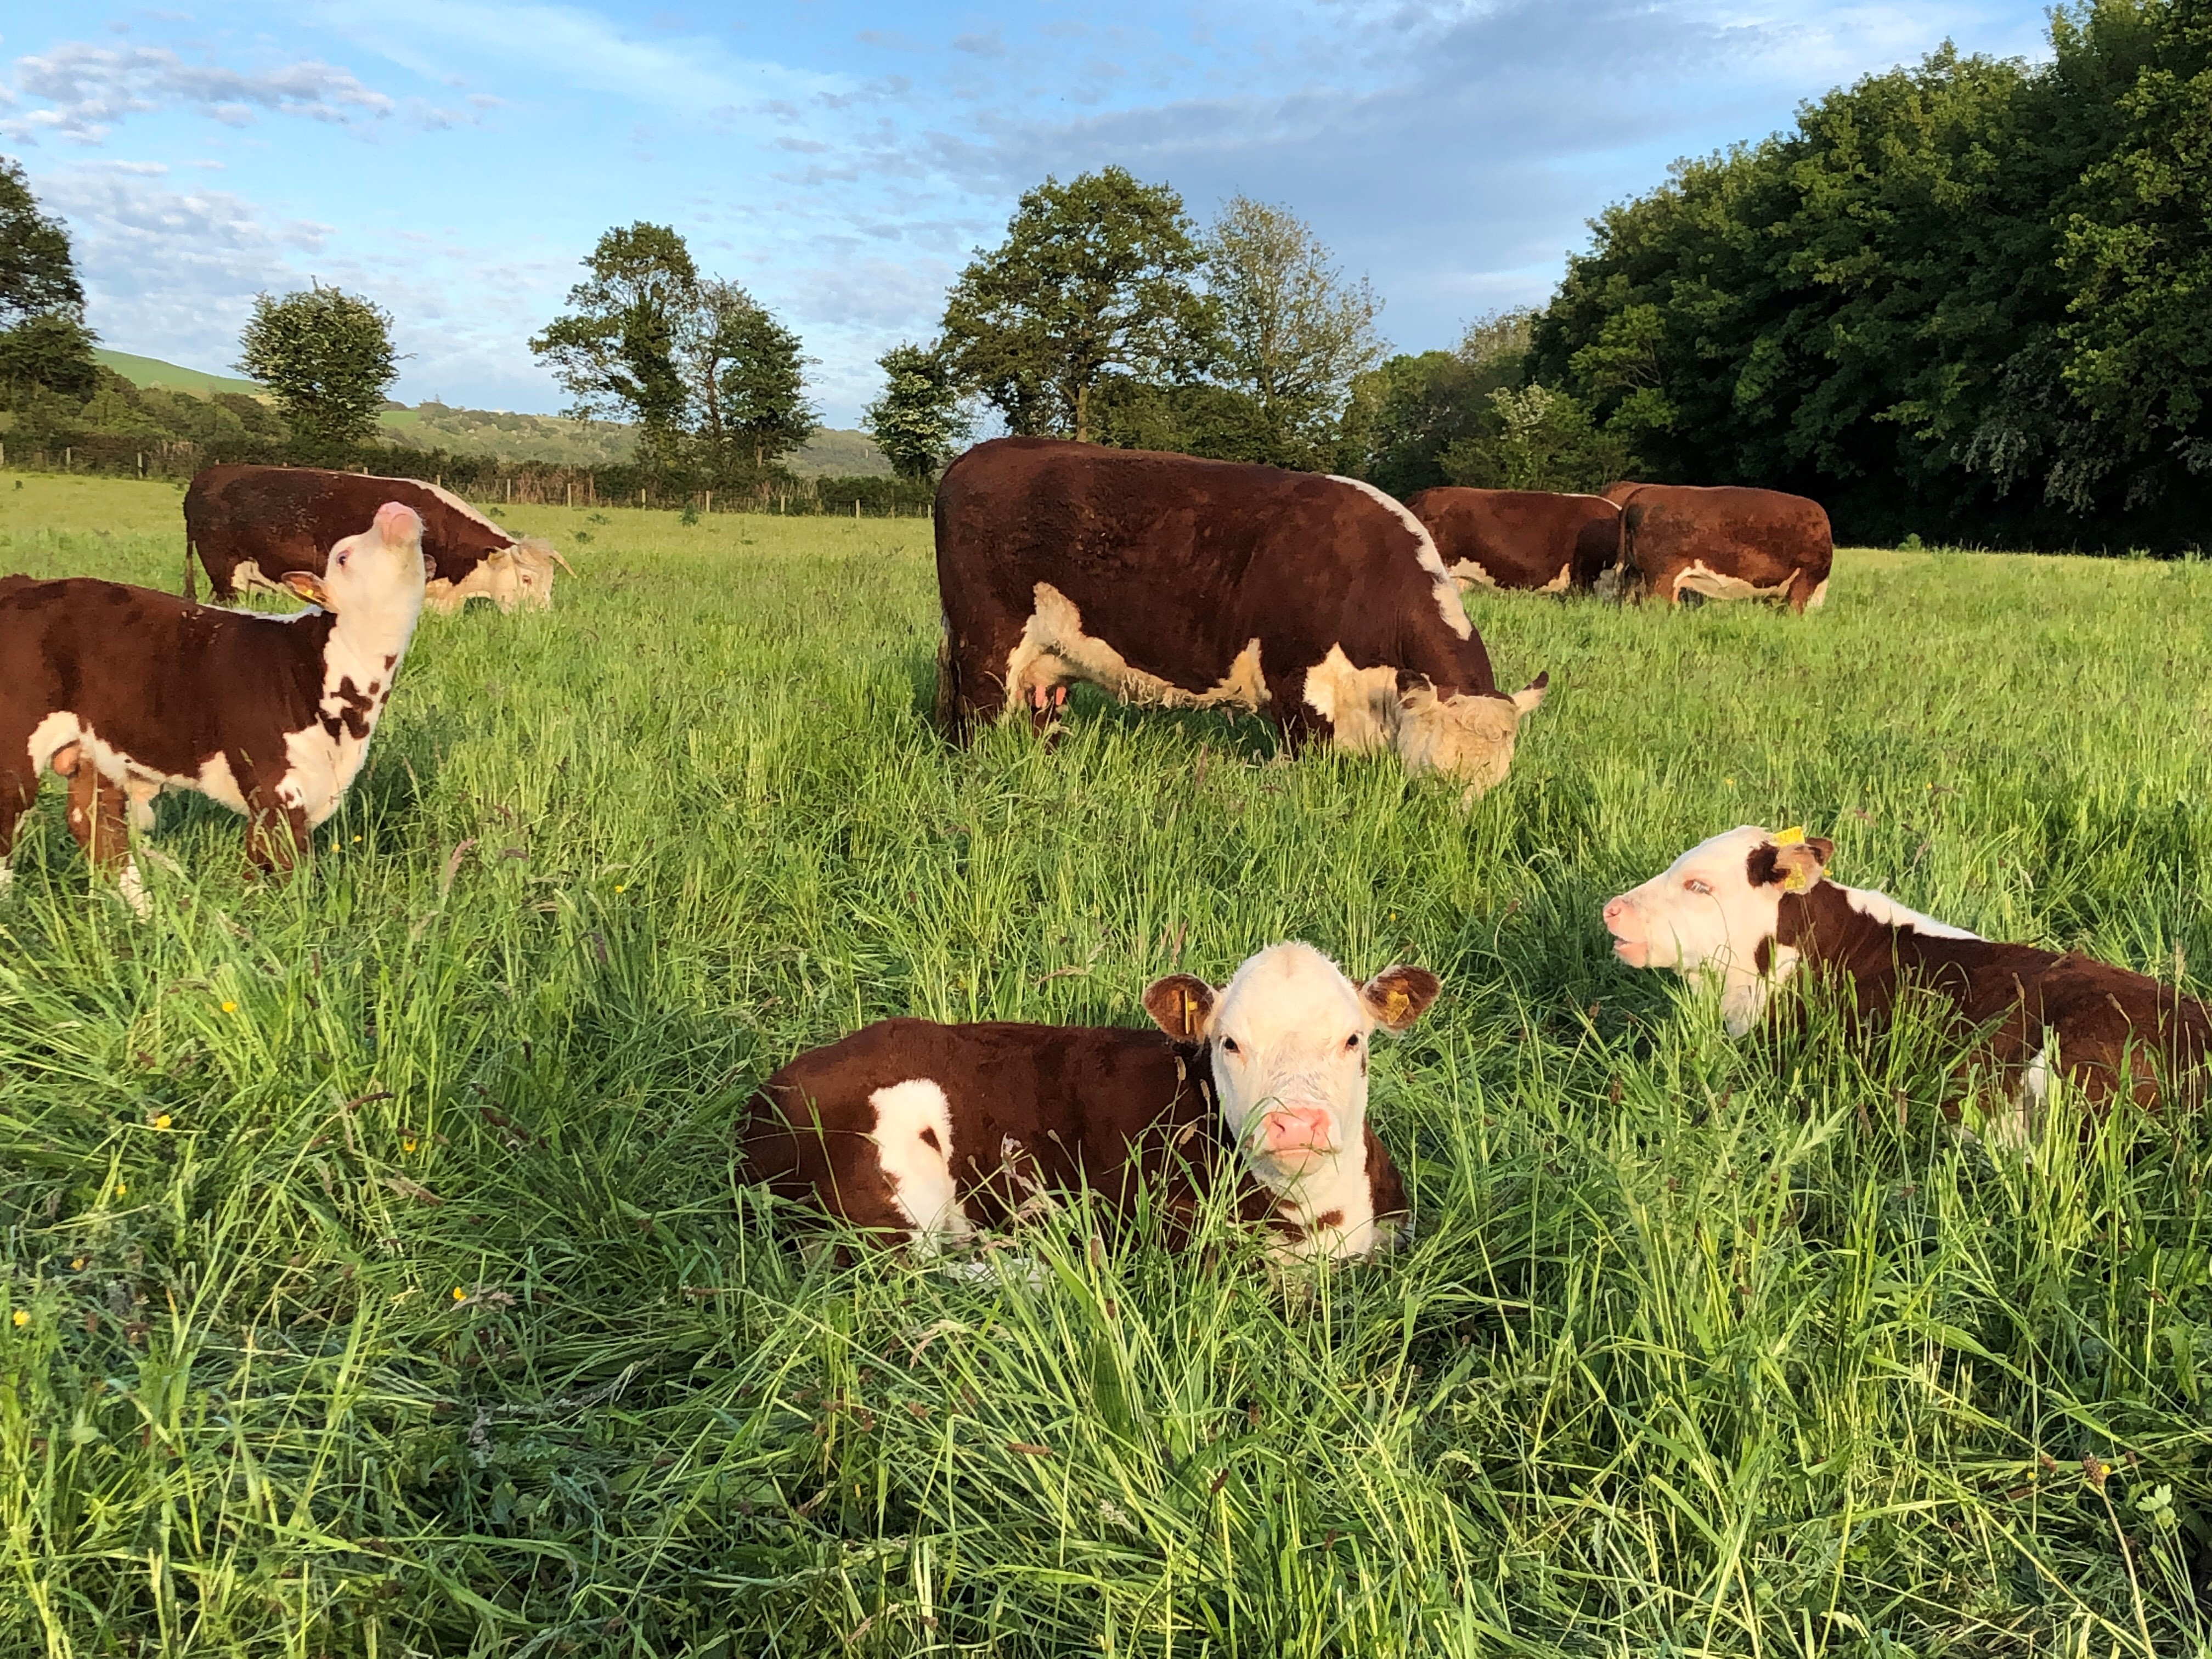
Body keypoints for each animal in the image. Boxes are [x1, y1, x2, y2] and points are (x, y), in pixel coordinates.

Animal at [1, 502, 430, 910]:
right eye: (343, 555)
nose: (392, 509)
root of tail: (20, 582)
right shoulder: (272, 782)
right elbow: (286, 863)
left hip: (96, 750)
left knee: (97, 825)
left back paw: (149, 915)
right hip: (16, 746)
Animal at [934, 439, 1547, 801]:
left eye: (1495, 783)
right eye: (1435, 778)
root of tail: (976, 456)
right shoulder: (1300, 688)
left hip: (1045, 661)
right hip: (986, 644)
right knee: (976, 719)